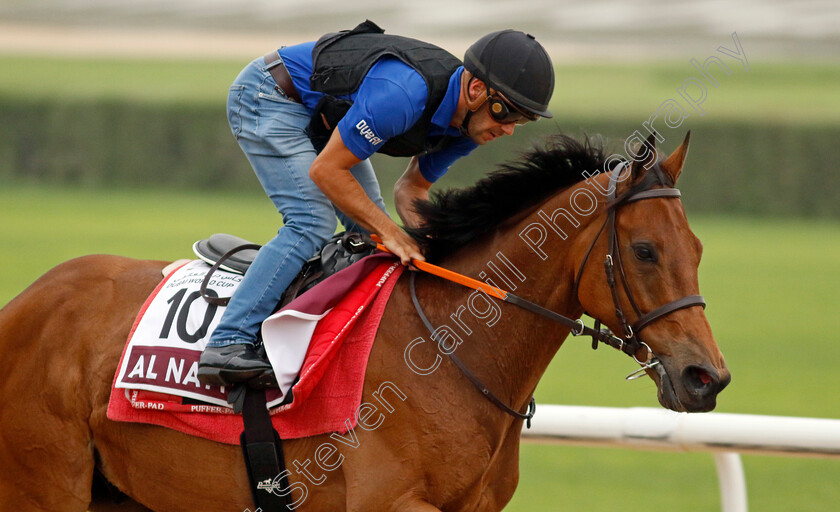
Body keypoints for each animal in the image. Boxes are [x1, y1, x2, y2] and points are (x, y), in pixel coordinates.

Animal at [0, 130, 728, 510]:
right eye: (645, 250)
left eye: (698, 250)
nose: (706, 378)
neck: (450, 352)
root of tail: (24, 304)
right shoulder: (391, 503)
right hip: (43, 486)